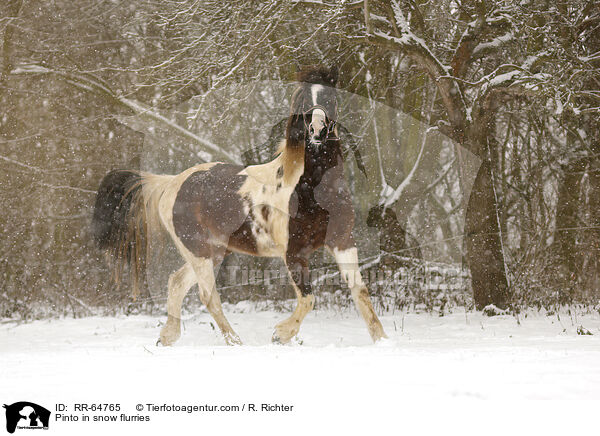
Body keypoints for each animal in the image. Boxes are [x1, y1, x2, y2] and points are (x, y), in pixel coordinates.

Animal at [91, 66, 386, 346]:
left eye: (329, 96)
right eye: (303, 99)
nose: (316, 131)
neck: (310, 188)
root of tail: (170, 182)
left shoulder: (342, 241)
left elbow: (360, 292)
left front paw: (382, 340)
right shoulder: (293, 252)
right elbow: (308, 299)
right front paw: (280, 334)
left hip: (212, 251)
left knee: (176, 282)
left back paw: (168, 337)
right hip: (198, 251)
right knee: (207, 295)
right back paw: (234, 341)